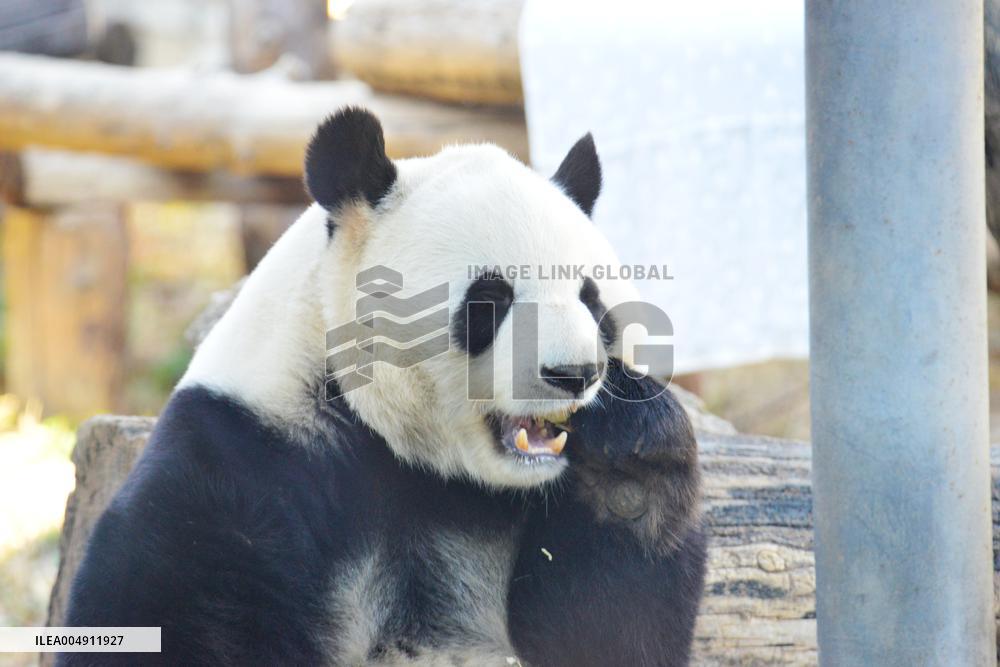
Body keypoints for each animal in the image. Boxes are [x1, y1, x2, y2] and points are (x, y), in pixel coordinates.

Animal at [60, 108, 706, 666]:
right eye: (489, 300)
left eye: (591, 300)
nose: (574, 374)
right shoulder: (243, 464)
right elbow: (165, 611)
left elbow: (604, 629)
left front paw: (629, 462)